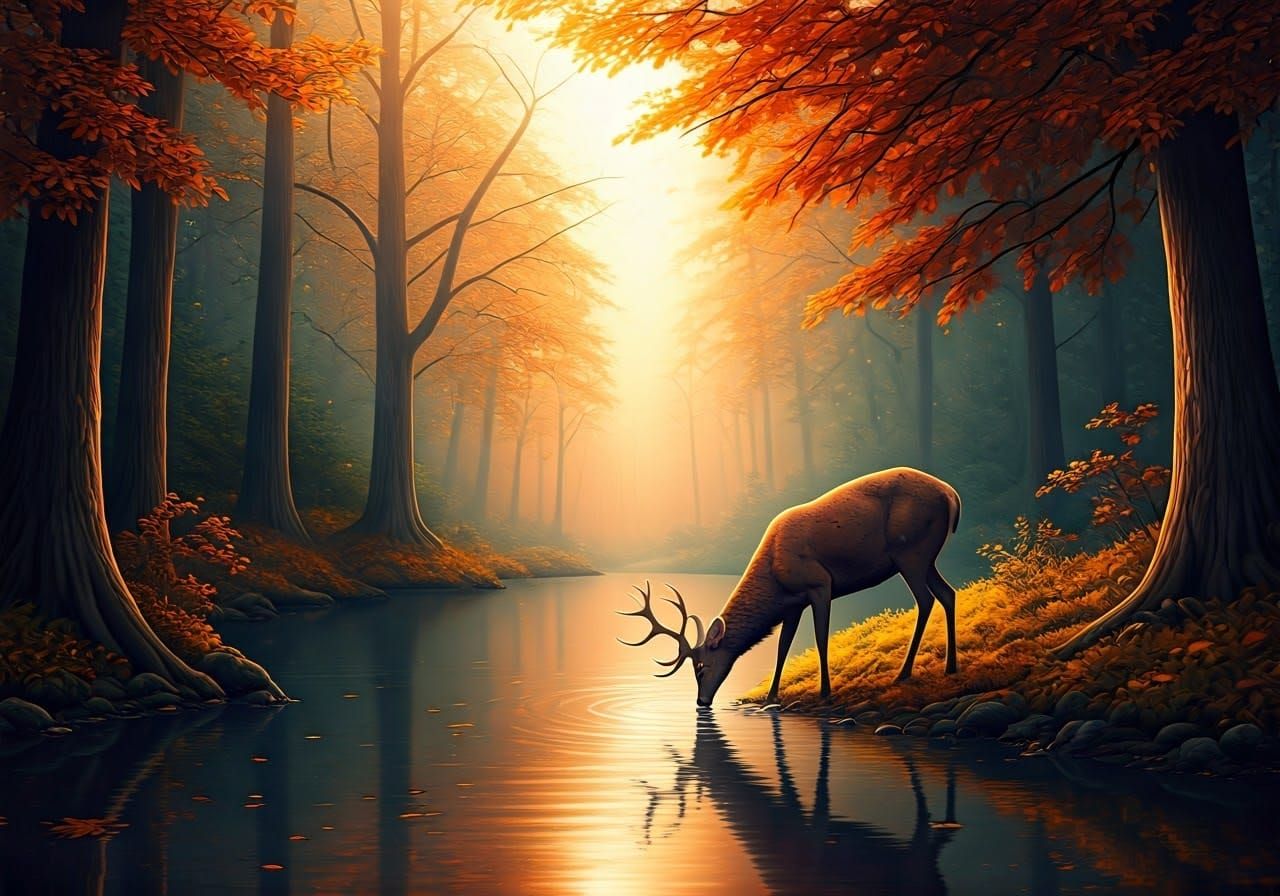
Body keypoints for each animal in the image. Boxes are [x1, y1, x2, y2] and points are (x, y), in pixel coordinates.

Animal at [620, 467, 961, 707]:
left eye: (701, 667)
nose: (701, 702)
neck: (773, 581)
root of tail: (952, 496)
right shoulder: (793, 604)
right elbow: (783, 647)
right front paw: (771, 696)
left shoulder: (820, 583)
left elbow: (821, 638)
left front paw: (825, 691)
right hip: (925, 557)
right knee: (948, 593)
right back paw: (950, 667)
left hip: (910, 551)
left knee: (926, 599)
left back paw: (903, 673)